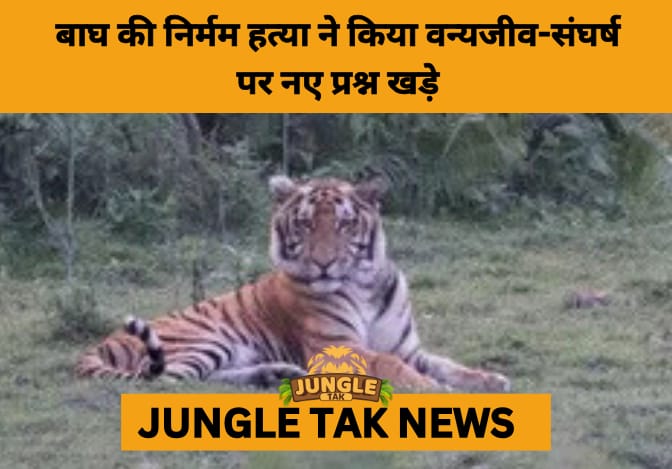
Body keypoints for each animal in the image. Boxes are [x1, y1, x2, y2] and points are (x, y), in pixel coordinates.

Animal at [75, 175, 510, 392]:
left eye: (344, 224)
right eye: (305, 224)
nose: (323, 263)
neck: (364, 286)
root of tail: (101, 342)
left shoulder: (407, 348)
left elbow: (448, 364)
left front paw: (489, 380)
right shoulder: (337, 348)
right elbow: (389, 364)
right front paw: (429, 388)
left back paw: (274, 375)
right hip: (202, 341)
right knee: (165, 381)